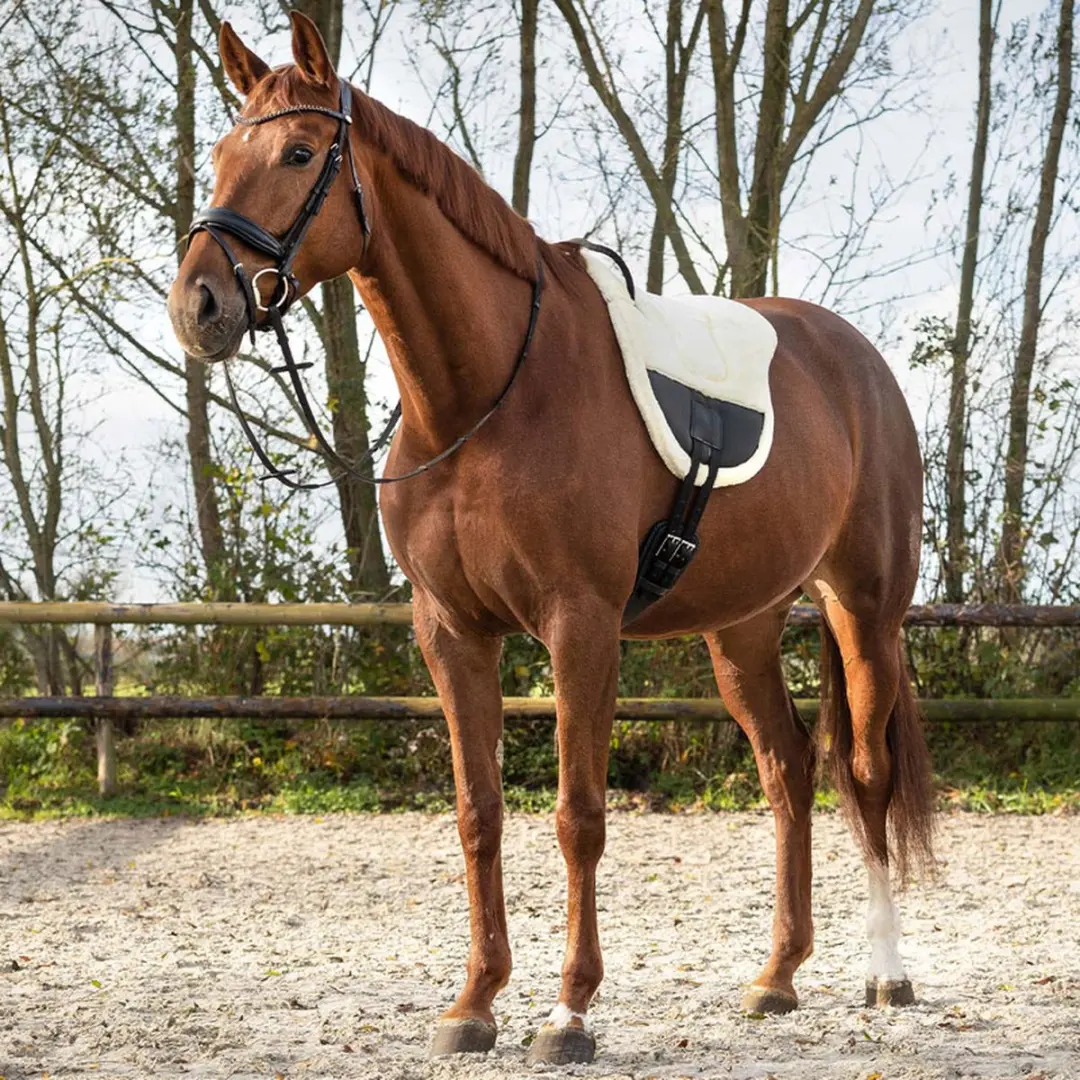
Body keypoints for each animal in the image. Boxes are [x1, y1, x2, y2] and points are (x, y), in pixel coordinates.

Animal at [168, 12, 935, 1066]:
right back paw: (777, 977)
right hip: (740, 628)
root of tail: (858, 362)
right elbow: (478, 813)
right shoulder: (452, 631)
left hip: (865, 612)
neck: (486, 395)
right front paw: (474, 1003)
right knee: (787, 769)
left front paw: (568, 1013)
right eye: (218, 156)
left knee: (865, 772)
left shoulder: (581, 625)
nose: (199, 305)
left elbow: (578, 817)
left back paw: (887, 972)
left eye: (298, 153)